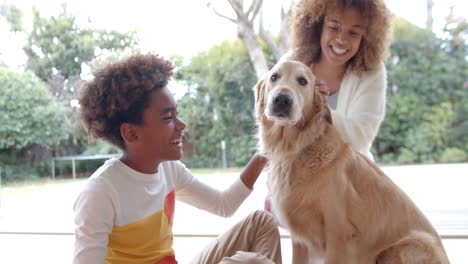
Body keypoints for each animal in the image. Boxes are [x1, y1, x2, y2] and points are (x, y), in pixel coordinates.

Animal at [254, 60, 452, 264]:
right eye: (274, 77)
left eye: (302, 81)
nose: (282, 99)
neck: (295, 149)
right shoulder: (300, 240)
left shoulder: (338, 233)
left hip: (402, 247)